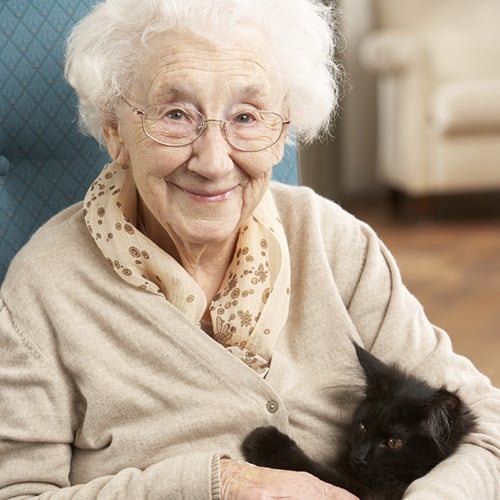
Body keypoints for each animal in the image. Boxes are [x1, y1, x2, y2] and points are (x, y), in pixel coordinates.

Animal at [242, 344, 476, 500]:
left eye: (394, 443)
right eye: (362, 427)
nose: (358, 456)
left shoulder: (363, 494)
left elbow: (316, 472)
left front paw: (267, 442)